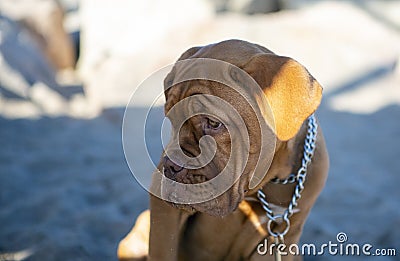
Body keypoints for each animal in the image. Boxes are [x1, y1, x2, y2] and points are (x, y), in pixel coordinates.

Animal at [117, 39, 330, 258]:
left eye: (213, 123)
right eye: (172, 120)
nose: (170, 166)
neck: (268, 183)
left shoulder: (283, 238)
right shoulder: (163, 214)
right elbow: (163, 251)